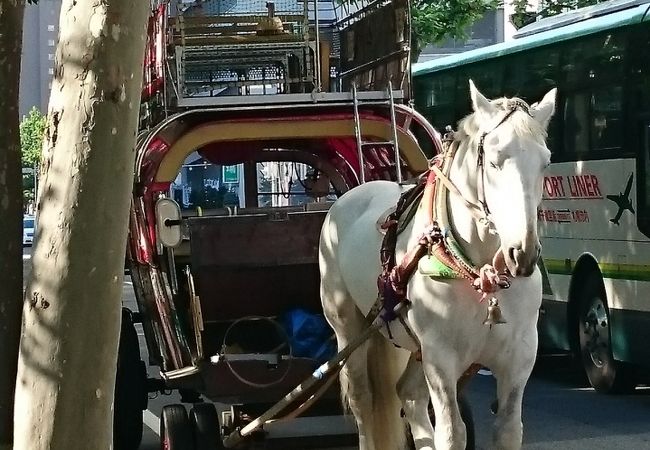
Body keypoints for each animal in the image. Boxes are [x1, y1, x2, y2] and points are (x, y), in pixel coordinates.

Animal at [316, 81, 556, 450]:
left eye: (545, 163)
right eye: (494, 163)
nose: (523, 253)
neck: (480, 272)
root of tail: (351, 195)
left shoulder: (520, 355)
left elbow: (508, 429)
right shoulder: (441, 357)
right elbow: (453, 432)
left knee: (408, 393)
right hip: (349, 327)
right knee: (362, 398)